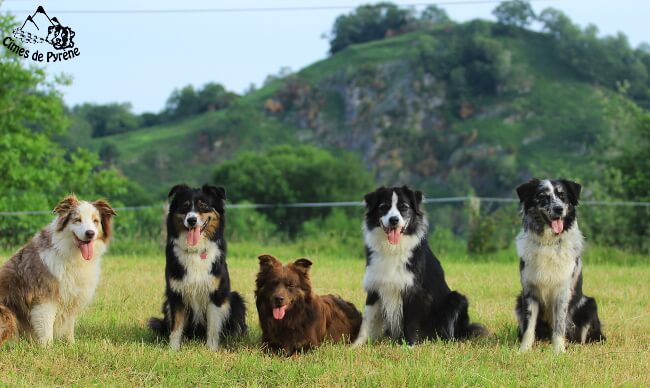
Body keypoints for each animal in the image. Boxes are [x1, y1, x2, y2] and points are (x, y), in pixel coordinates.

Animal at [148, 183, 247, 350]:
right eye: (185, 206)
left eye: (203, 205)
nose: (192, 220)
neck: (195, 251)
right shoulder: (176, 294)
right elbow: (176, 327)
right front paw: (172, 350)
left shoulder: (216, 294)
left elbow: (213, 327)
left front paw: (211, 350)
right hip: (167, 303)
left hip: (235, 299)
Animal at [352, 185, 484, 346]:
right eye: (384, 207)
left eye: (404, 207)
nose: (394, 220)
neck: (393, 248)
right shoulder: (375, 287)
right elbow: (367, 321)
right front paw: (355, 346)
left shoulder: (415, 291)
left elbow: (410, 322)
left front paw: (409, 345)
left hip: (457, 299)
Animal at [512, 177, 604, 354]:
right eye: (543, 196)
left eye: (563, 196)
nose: (559, 209)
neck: (549, 243)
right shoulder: (529, 292)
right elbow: (528, 327)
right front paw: (523, 350)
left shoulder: (563, 291)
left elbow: (560, 325)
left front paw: (559, 351)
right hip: (518, 301)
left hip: (589, 304)